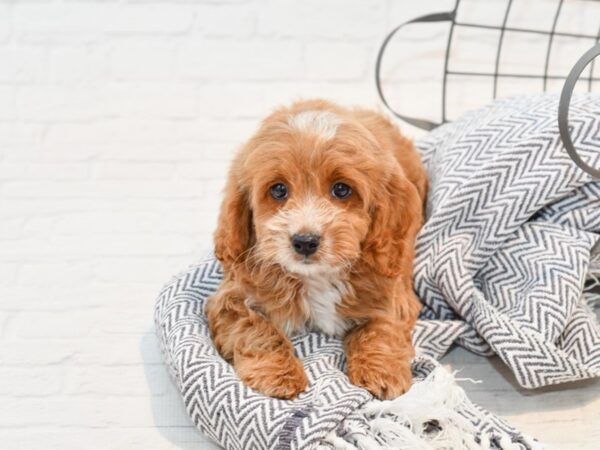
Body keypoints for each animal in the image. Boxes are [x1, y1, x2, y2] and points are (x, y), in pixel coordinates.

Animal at [206, 99, 426, 400]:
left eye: (342, 189)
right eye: (278, 190)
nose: (305, 241)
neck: (317, 276)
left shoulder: (392, 288)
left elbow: (382, 327)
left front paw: (382, 371)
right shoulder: (231, 298)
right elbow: (255, 328)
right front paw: (279, 375)